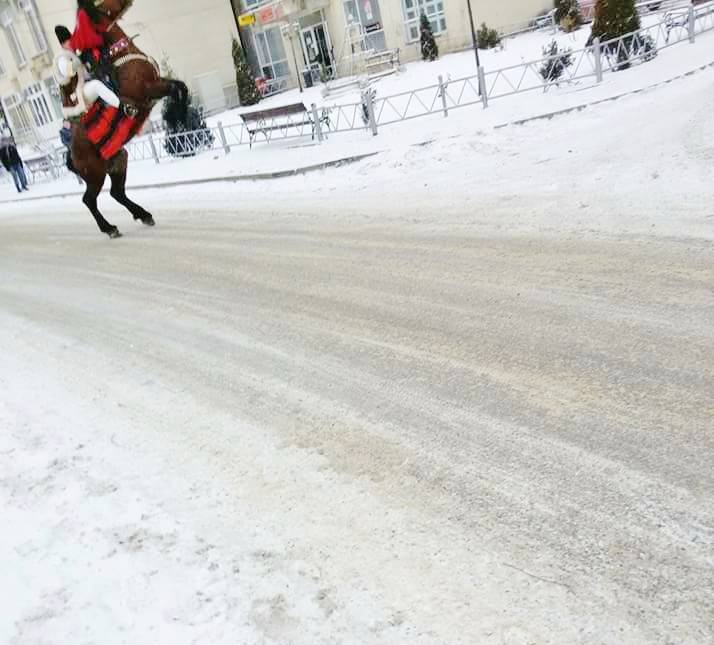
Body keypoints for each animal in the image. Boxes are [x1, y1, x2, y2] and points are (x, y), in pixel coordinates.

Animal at [63, 0, 188, 238]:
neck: (122, 58)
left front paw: (180, 116)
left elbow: (181, 87)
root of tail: (72, 152)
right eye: (100, 4)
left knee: (116, 193)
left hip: (119, 161)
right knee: (89, 200)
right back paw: (109, 228)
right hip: (95, 174)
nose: (127, 2)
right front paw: (178, 116)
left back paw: (144, 214)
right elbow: (176, 89)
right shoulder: (151, 88)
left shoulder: (159, 82)